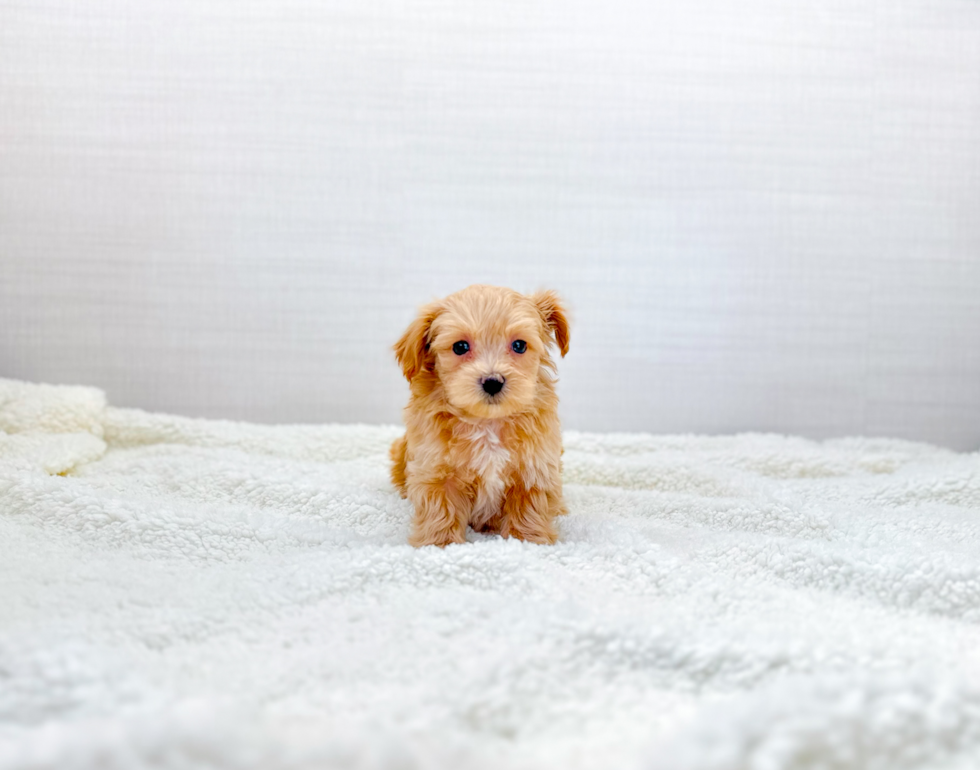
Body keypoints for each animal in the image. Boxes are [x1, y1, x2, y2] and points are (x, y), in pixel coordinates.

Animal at [390, 284, 572, 544]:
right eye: (460, 347)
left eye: (519, 345)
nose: (493, 382)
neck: (487, 422)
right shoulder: (435, 470)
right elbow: (441, 509)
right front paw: (439, 543)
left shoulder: (535, 469)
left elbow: (529, 508)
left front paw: (528, 539)